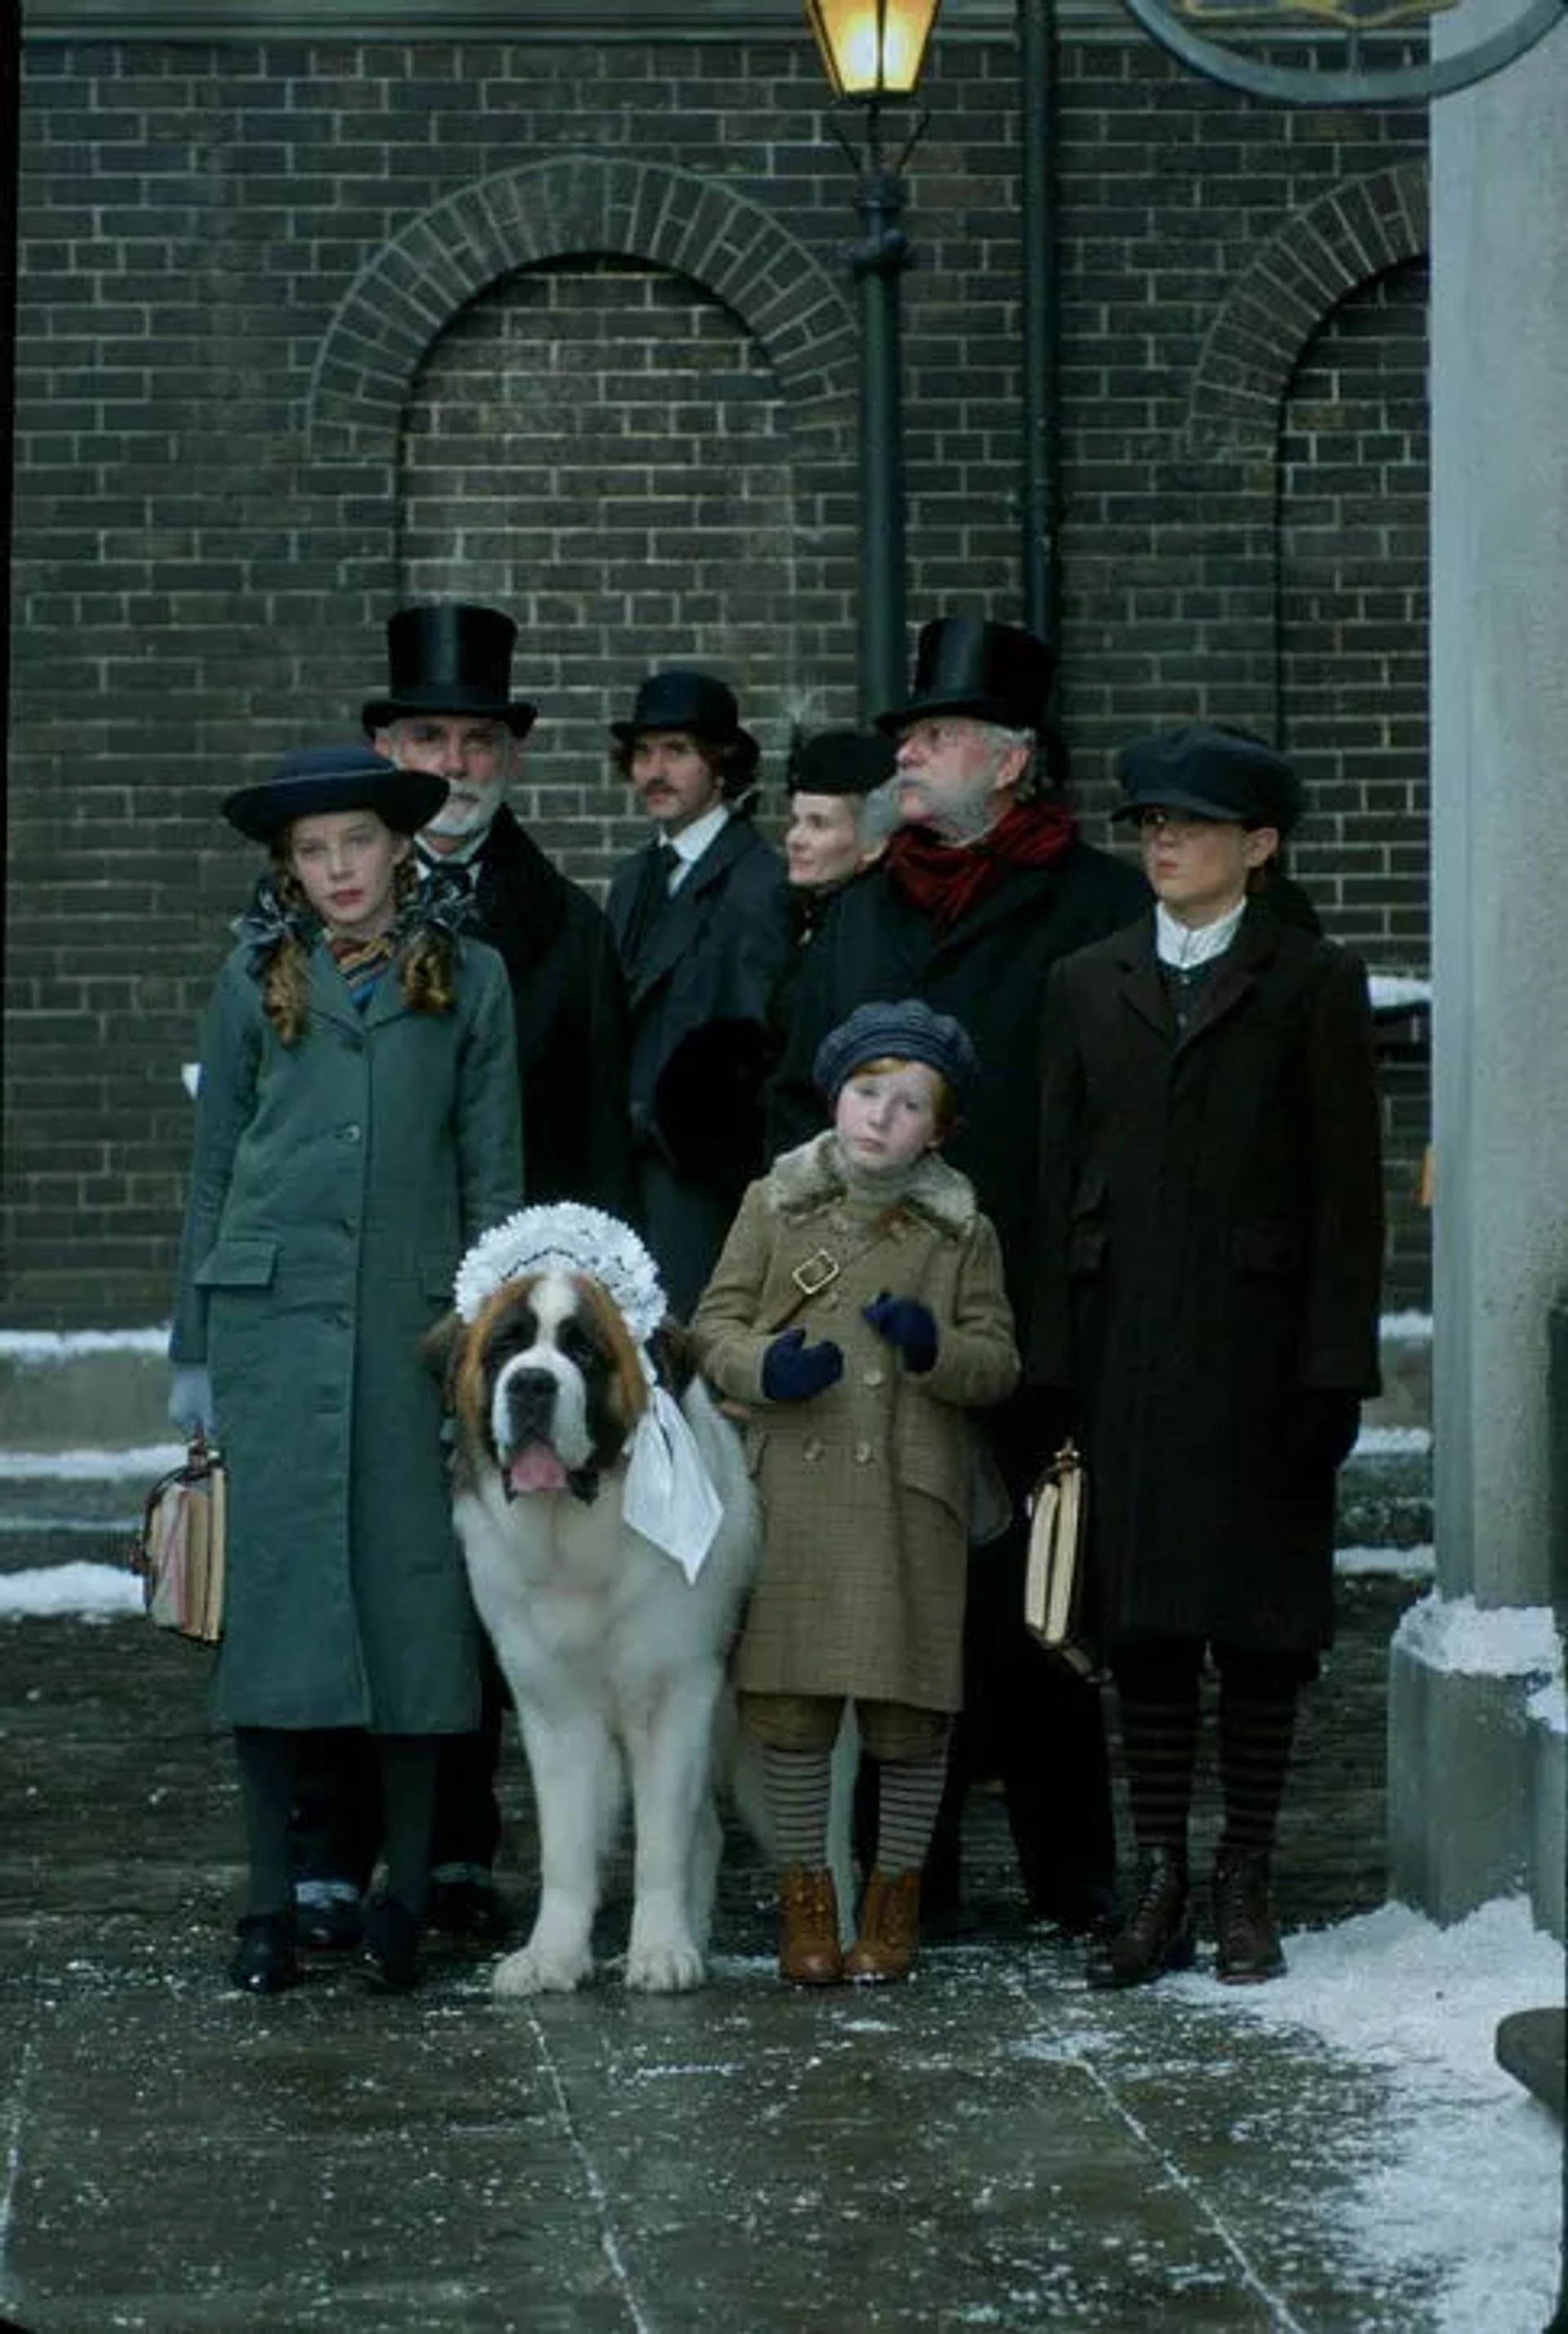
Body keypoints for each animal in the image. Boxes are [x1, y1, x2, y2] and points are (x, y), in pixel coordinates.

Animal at [441, 1214, 760, 1998]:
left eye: (582, 1350)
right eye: (505, 1347)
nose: (531, 1384)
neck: (576, 1539)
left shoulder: (675, 1694)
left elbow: (662, 1844)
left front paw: (662, 1951)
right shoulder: (553, 1708)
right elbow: (567, 1846)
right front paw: (552, 1954)